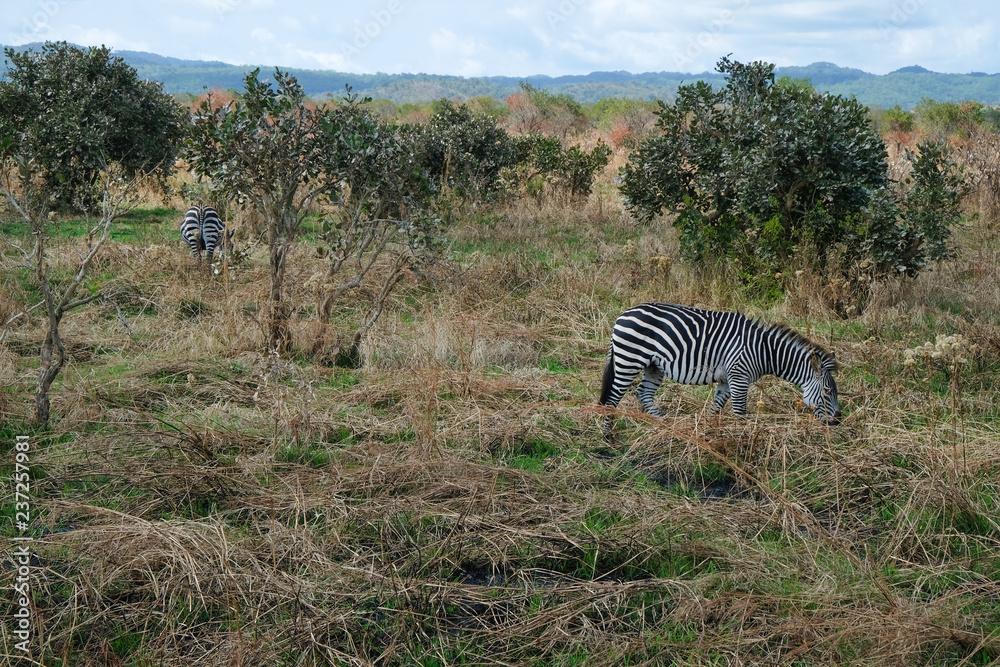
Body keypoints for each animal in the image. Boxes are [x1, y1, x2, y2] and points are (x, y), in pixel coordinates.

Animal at [599, 302, 841, 432]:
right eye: (828, 391)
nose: (837, 421)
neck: (764, 351)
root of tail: (622, 315)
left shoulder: (726, 379)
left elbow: (716, 409)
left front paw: (710, 433)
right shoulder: (739, 377)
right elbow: (740, 412)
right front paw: (742, 442)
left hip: (653, 365)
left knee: (644, 394)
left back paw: (667, 425)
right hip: (629, 359)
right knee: (613, 398)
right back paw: (608, 436)